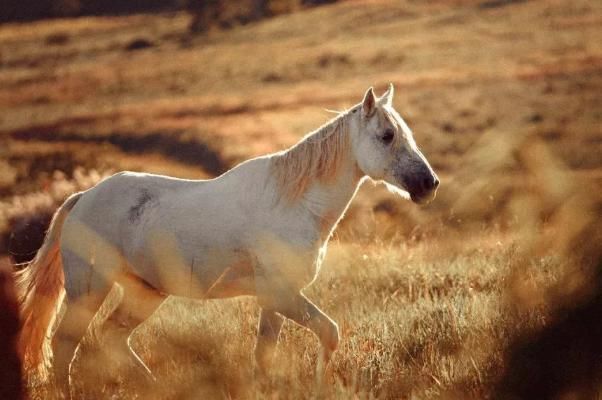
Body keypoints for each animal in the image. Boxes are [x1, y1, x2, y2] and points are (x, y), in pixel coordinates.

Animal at [14, 84, 436, 394]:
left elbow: (264, 355)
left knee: (111, 339)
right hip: (89, 290)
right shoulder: (281, 294)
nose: (429, 184)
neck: (293, 203)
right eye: (387, 135)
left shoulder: (275, 300)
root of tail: (83, 198)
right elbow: (329, 334)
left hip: (144, 293)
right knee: (65, 346)